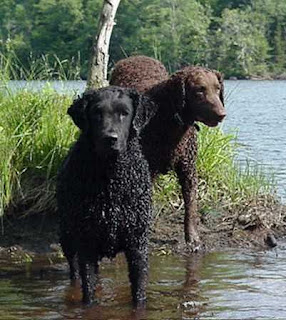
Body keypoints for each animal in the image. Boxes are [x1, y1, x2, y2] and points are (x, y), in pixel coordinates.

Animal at [57, 86, 156, 306]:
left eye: (124, 113)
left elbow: (139, 291)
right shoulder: (86, 242)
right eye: (97, 113)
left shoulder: (137, 243)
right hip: (67, 237)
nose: (110, 138)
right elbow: (88, 292)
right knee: (74, 272)